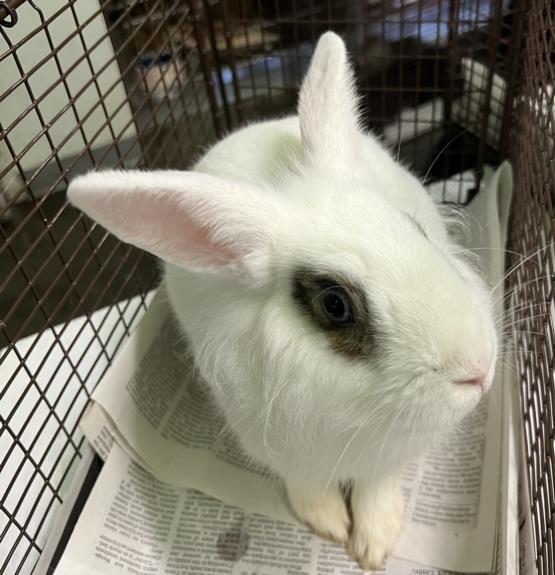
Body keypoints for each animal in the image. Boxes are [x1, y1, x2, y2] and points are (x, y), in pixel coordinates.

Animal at [67, 32, 498, 572]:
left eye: (416, 230)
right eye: (335, 305)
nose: (479, 370)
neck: (360, 416)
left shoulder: (391, 458)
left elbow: (378, 488)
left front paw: (375, 543)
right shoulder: (283, 451)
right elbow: (310, 487)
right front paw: (329, 525)